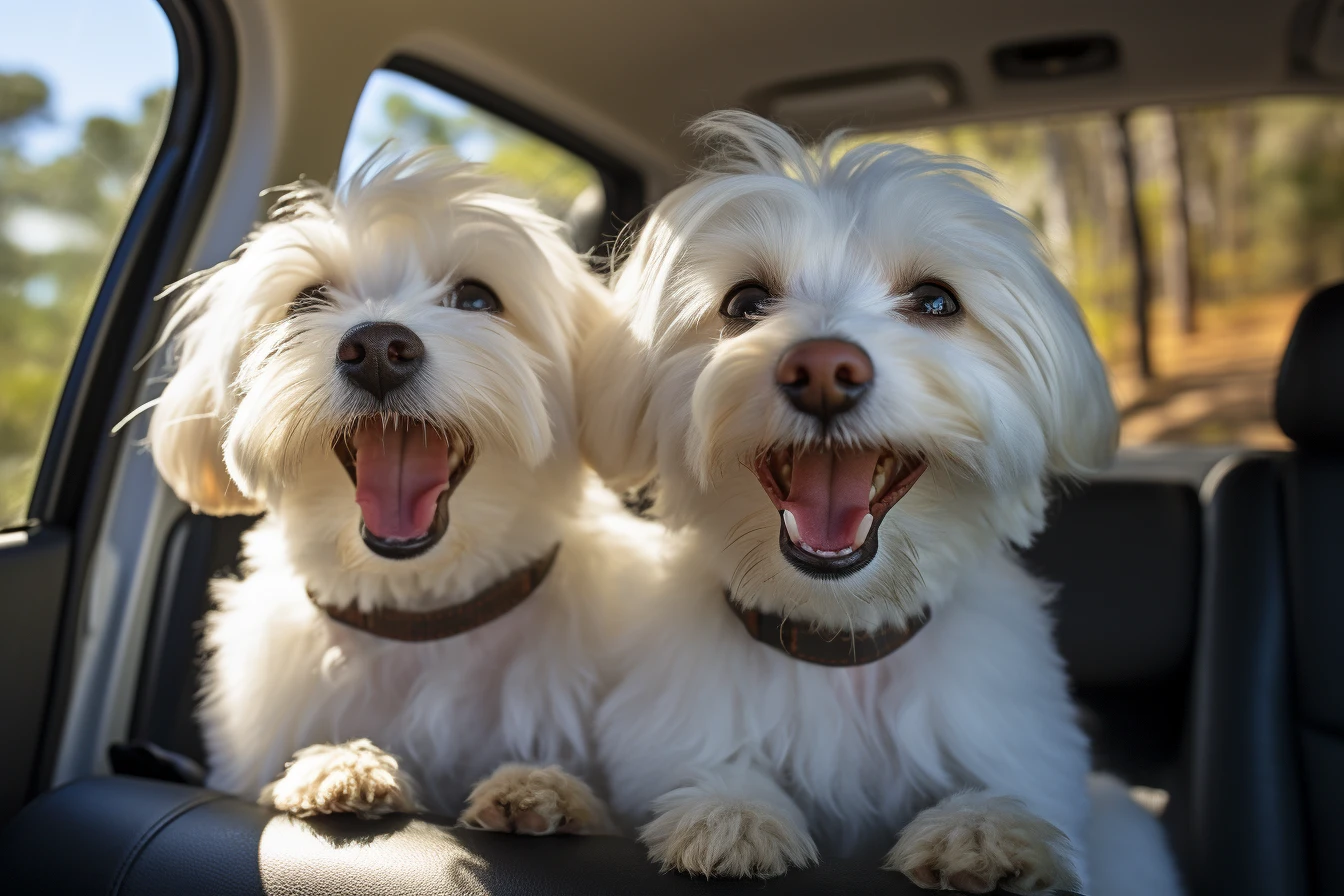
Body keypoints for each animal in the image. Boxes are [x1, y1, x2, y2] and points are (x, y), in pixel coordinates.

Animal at [583, 115, 1182, 891]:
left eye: (936, 301)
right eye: (745, 303)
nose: (822, 369)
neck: (842, 641)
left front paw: (982, 829)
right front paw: (729, 812)